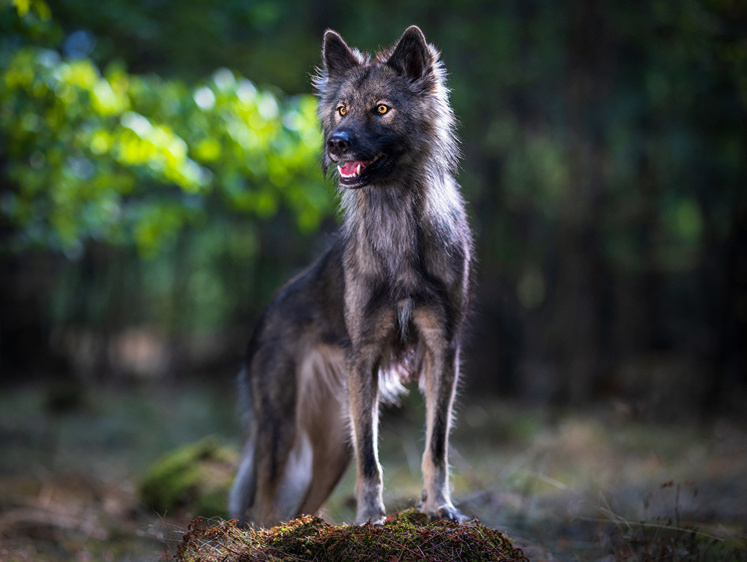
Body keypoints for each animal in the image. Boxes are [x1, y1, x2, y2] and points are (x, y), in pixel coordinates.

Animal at [229, 25, 474, 524]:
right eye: (341, 109)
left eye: (382, 109)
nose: (336, 143)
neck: (398, 221)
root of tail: (270, 309)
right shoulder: (366, 356)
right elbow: (372, 459)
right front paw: (370, 518)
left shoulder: (442, 349)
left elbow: (436, 446)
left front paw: (439, 505)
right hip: (282, 436)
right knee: (264, 509)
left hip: (331, 443)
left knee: (299, 506)